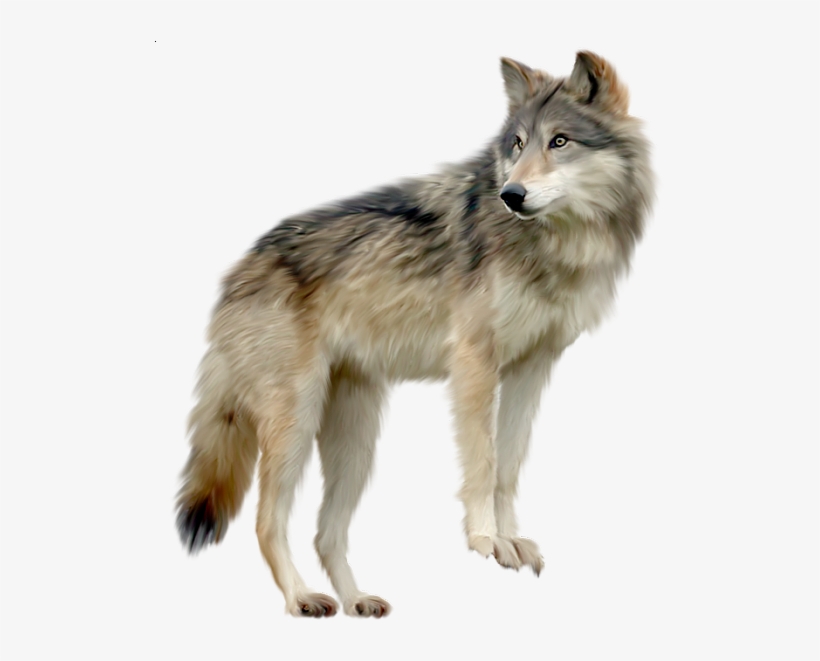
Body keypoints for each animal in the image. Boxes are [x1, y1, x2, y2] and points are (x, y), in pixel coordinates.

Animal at [176, 51, 654, 618]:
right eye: (517, 144)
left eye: (559, 141)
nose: (511, 194)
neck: (557, 244)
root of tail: (239, 269)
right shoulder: (474, 361)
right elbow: (482, 461)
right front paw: (486, 540)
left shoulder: (531, 367)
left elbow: (507, 466)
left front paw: (511, 540)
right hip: (295, 422)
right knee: (267, 521)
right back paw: (302, 599)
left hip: (356, 441)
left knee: (325, 534)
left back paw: (357, 600)